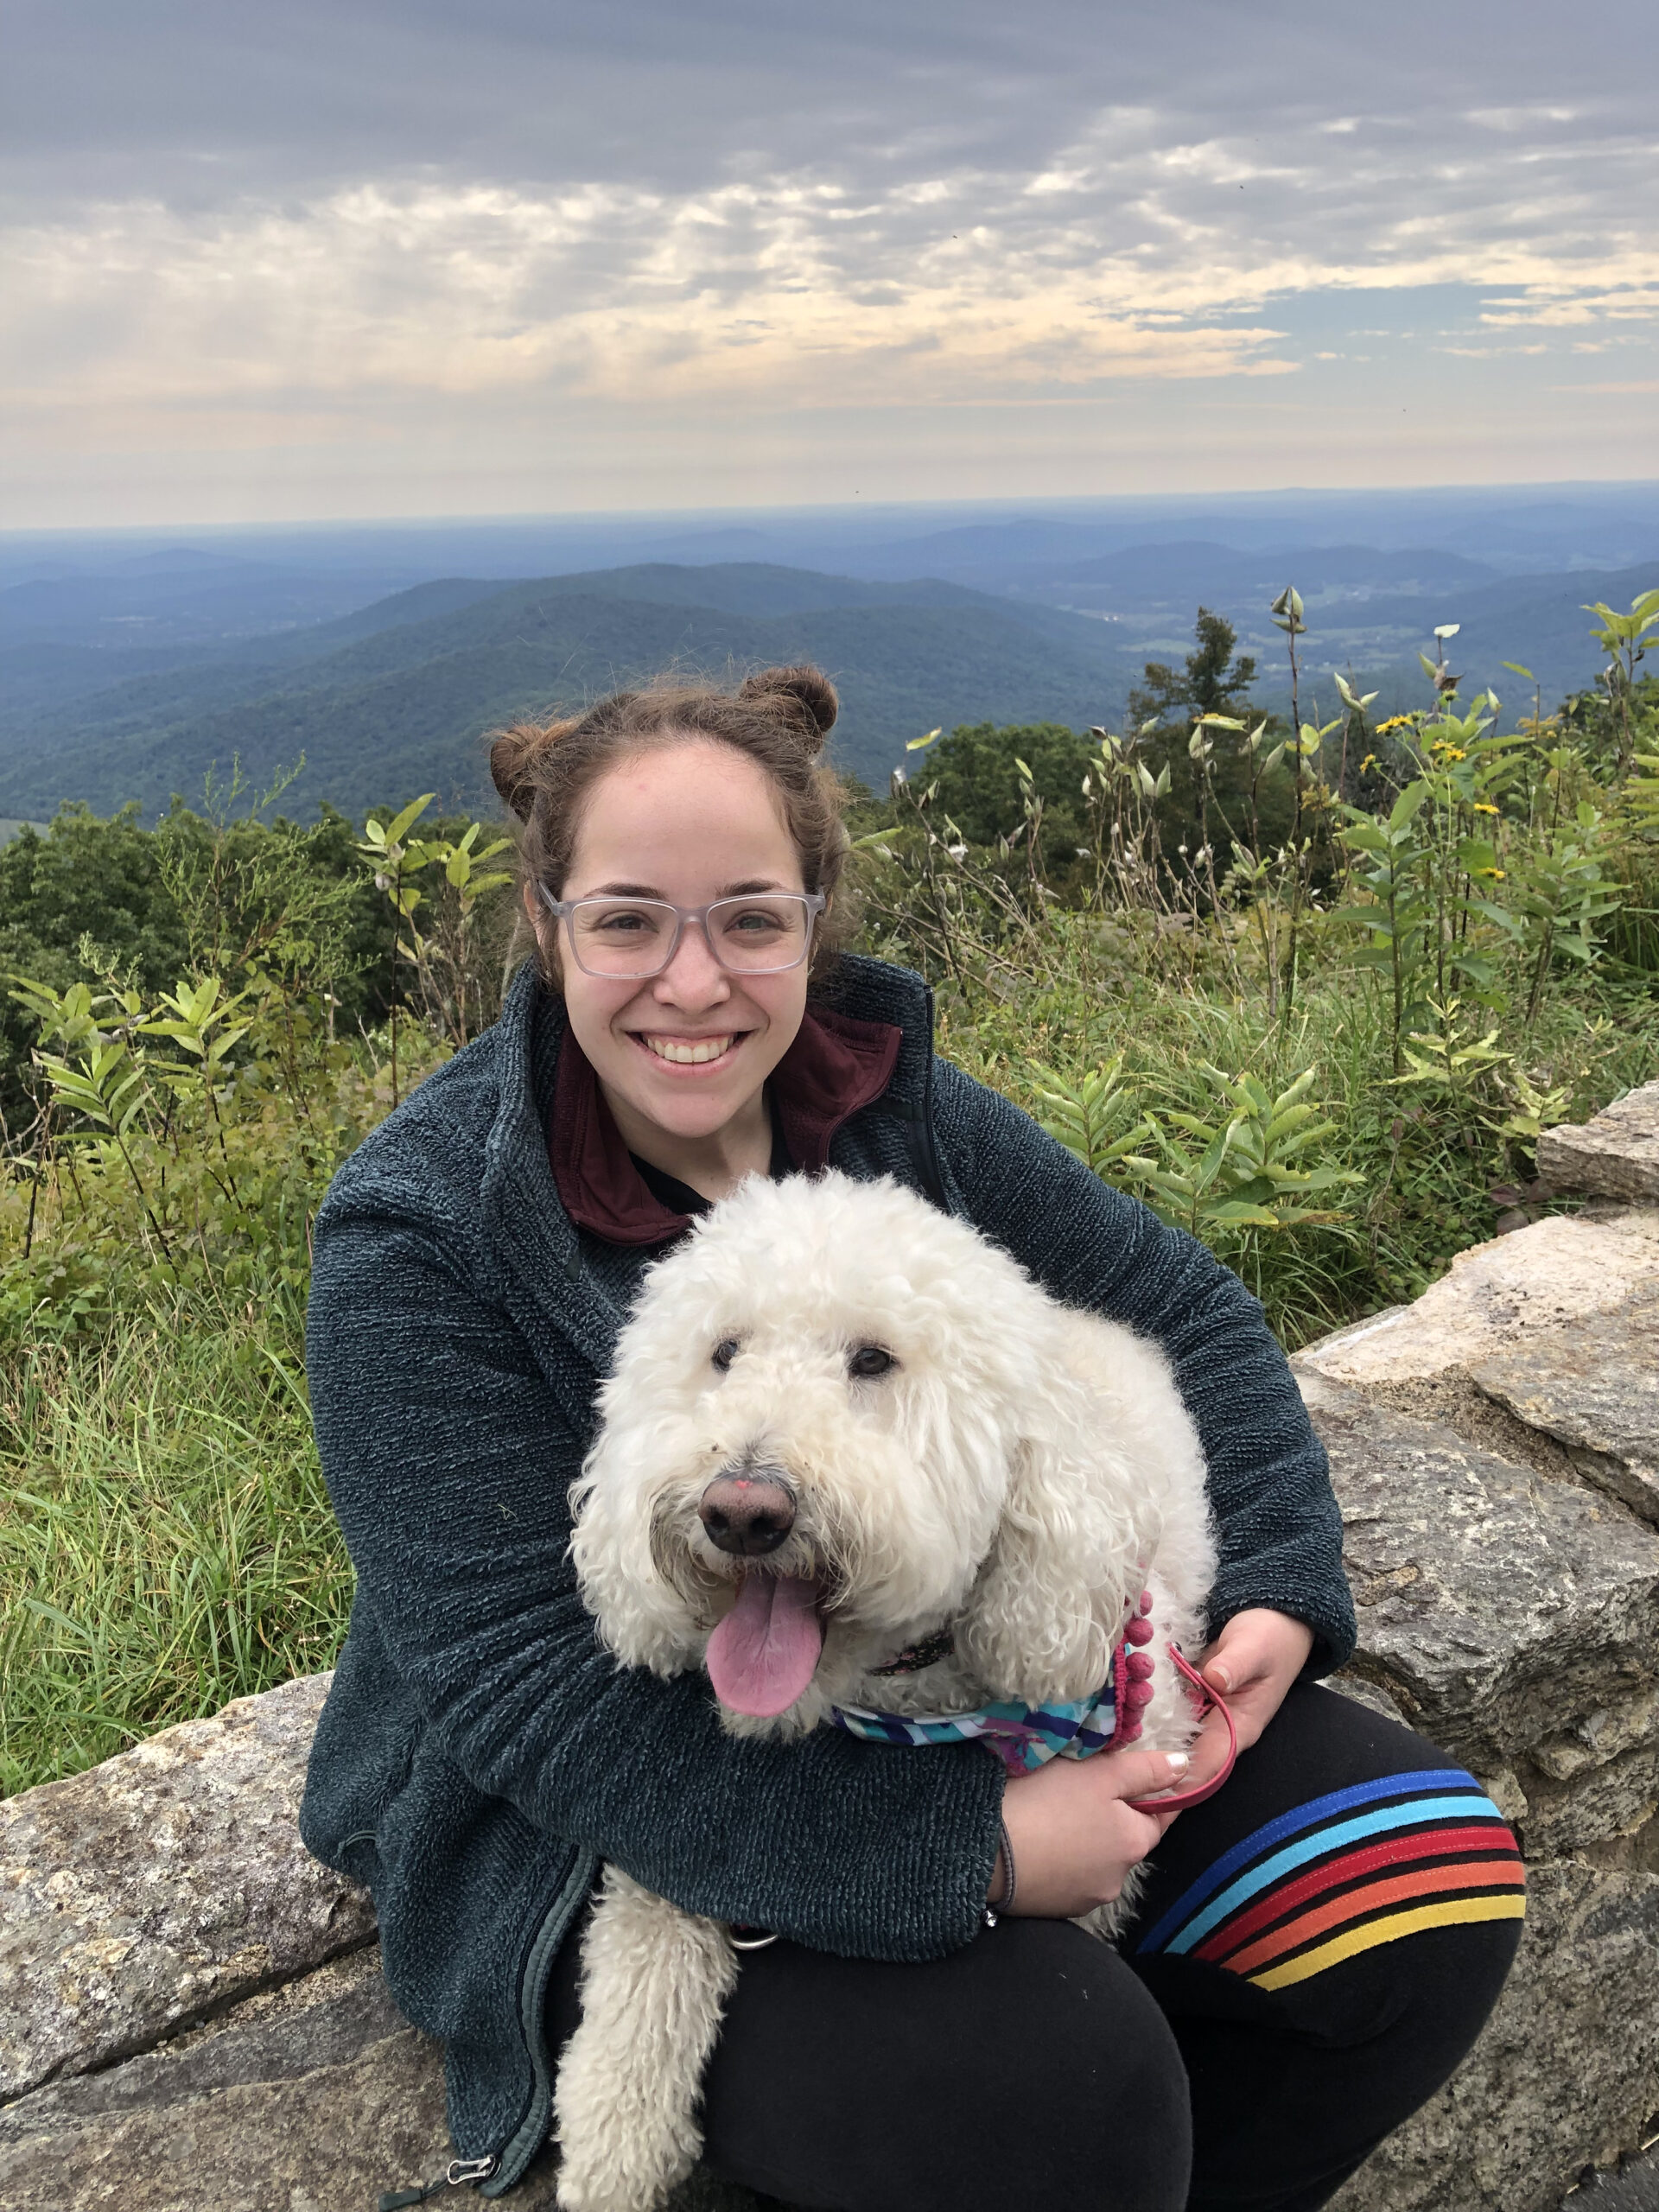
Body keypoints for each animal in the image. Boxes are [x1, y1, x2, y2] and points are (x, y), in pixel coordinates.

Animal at [562, 1167, 1221, 2202]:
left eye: (873, 1360)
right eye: (723, 1353)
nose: (740, 1510)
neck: (910, 1697)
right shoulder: (685, 1836)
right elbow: (650, 1918)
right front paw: (611, 2129)